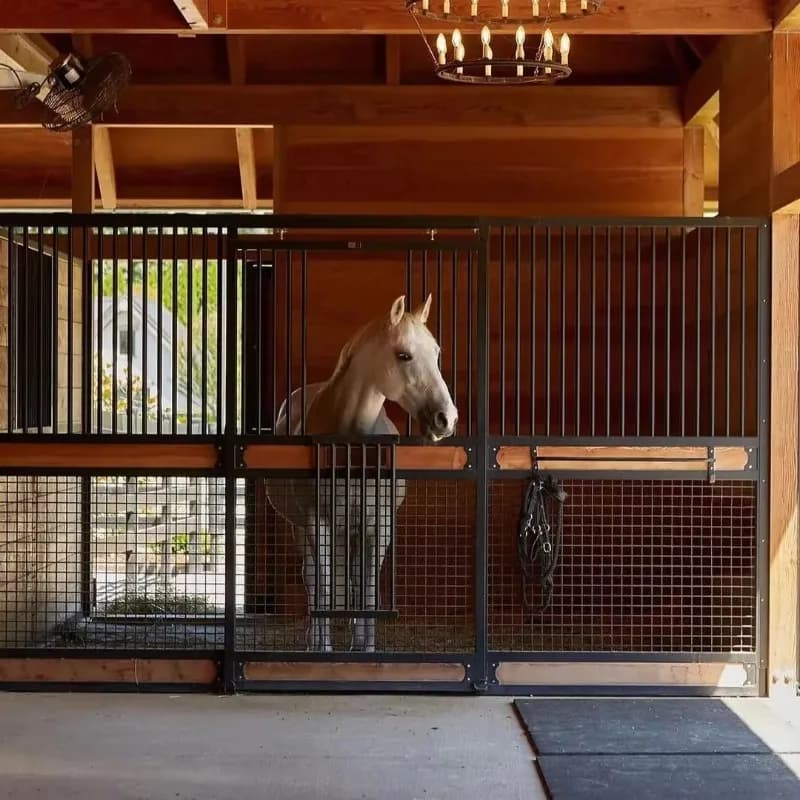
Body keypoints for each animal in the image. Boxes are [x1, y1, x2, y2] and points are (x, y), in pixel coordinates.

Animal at [264, 294, 458, 652]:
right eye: (404, 355)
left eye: (437, 353)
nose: (446, 419)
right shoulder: (318, 522)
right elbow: (325, 587)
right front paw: (324, 650)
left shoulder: (377, 524)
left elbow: (368, 589)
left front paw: (366, 649)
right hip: (302, 528)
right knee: (312, 577)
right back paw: (314, 641)